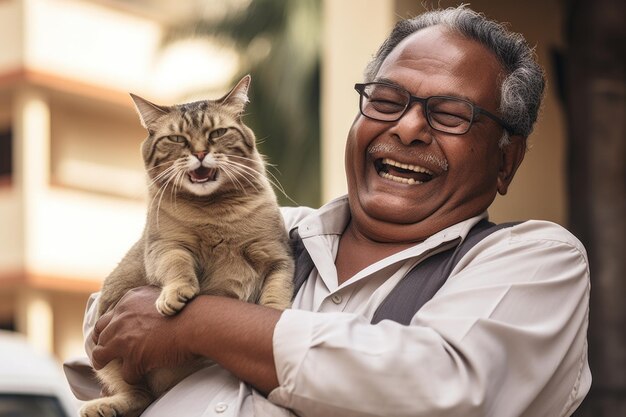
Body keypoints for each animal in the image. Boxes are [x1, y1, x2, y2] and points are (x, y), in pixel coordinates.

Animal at [79, 75, 294, 416]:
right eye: (177, 139)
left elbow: (277, 290)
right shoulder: (166, 247)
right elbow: (177, 267)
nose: (201, 153)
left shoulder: (277, 255)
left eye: (217, 133)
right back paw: (104, 406)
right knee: (140, 395)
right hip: (110, 356)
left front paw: (274, 312)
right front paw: (176, 292)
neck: (215, 212)